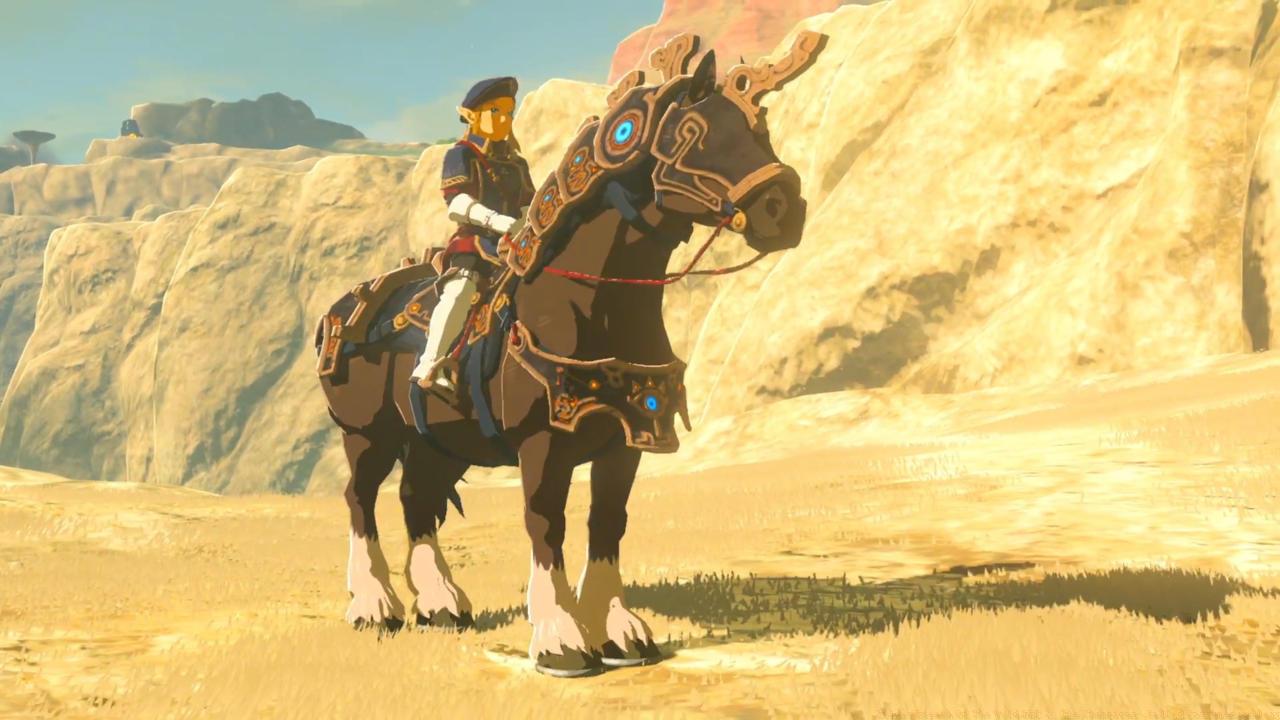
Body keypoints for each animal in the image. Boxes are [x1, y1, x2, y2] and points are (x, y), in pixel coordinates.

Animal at [315, 31, 825, 677]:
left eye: (758, 127)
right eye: (695, 131)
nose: (783, 208)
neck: (591, 305)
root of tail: (346, 307)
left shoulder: (627, 439)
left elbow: (606, 525)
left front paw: (620, 633)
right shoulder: (543, 443)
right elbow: (545, 523)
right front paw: (560, 638)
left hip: (438, 441)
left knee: (418, 501)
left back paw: (440, 604)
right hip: (368, 435)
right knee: (361, 500)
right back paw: (374, 604)